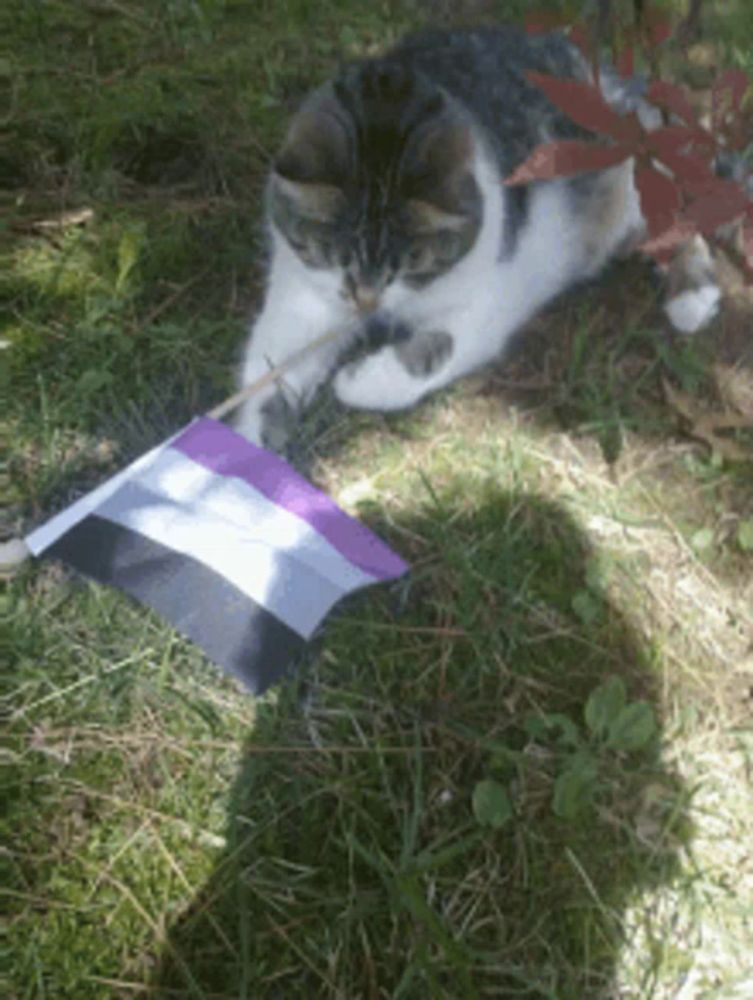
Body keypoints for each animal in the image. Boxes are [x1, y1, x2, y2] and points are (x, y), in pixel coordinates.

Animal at [232, 25, 720, 448]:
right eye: (332, 254)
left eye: (413, 263)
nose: (366, 301)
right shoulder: (300, 298)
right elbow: (269, 369)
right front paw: (249, 445)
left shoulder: (493, 297)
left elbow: (439, 346)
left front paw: (358, 381)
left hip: (644, 179)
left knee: (687, 220)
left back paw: (693, 299)